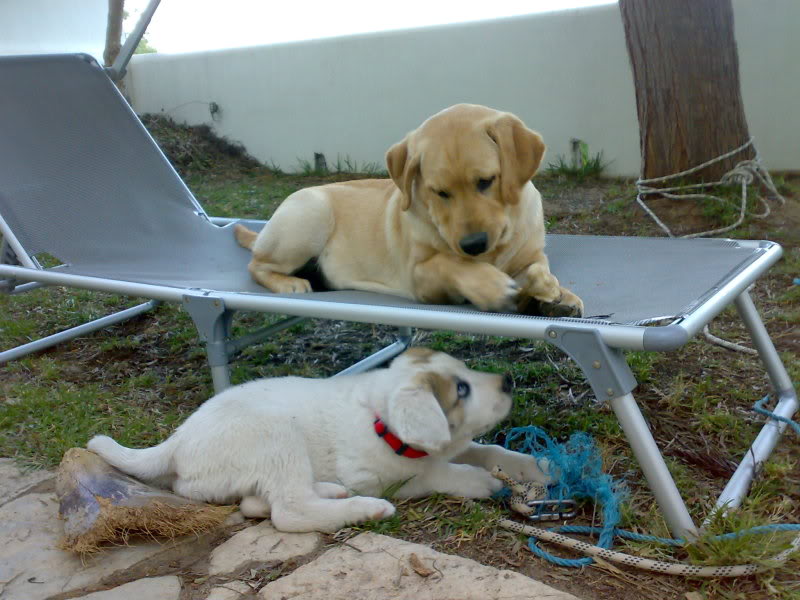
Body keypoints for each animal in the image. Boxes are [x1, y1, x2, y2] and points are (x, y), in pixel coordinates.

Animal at [89, 346, 552, 536]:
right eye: (461, 390)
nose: (508, 381)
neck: (380, 421)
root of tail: (177, 440)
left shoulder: (453, 445)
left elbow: (488, 449)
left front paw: (538, 467)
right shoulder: (384, 475)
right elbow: (440, 473)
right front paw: (482, 482)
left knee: (257, 502)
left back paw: (330, 490)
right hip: (275, 436)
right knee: (288, 511)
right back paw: (363, 509)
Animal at [234, 104, 584, 318]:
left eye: (486, 181)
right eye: (440, 192)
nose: (473, 245)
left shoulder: (530, 253)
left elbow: (538, 268)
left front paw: (558, 293)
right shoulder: (420, 278)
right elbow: (452, 263)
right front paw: (492, 285)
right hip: (310, 216)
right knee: (255, 264)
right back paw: (289, 283)